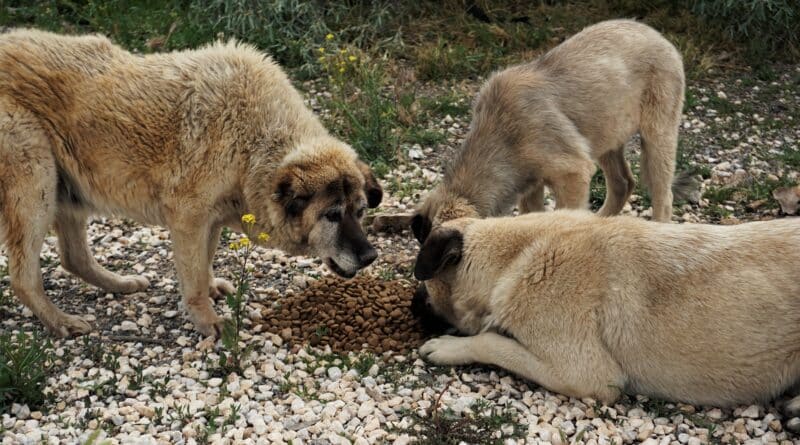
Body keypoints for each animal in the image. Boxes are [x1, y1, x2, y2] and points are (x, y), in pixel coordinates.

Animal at [0, 28, 382, 336]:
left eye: (360, 212)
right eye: (332, 215)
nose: (370, 256)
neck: (253, 140)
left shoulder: (210, 220)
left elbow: (205, 262)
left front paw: (211, 291)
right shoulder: (188, 218)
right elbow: (194, 277)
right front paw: (207, 320)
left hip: (67, 191)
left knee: (73, 257)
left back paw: (120, 284)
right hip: (36, 187)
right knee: (23, 278)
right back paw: (59, 321)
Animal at [412, 212, 800, 426]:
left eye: (426, 287)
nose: (412, 304)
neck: (517, 255)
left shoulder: (585, 375)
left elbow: (491, 341)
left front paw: (450, 346)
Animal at [416, 20, 684, 243]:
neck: (501, 137)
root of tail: (659, 36)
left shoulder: (573, 172)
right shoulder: (531, 186)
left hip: (658, 135)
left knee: (663, 197)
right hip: (608, 134)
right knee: (623, 183)